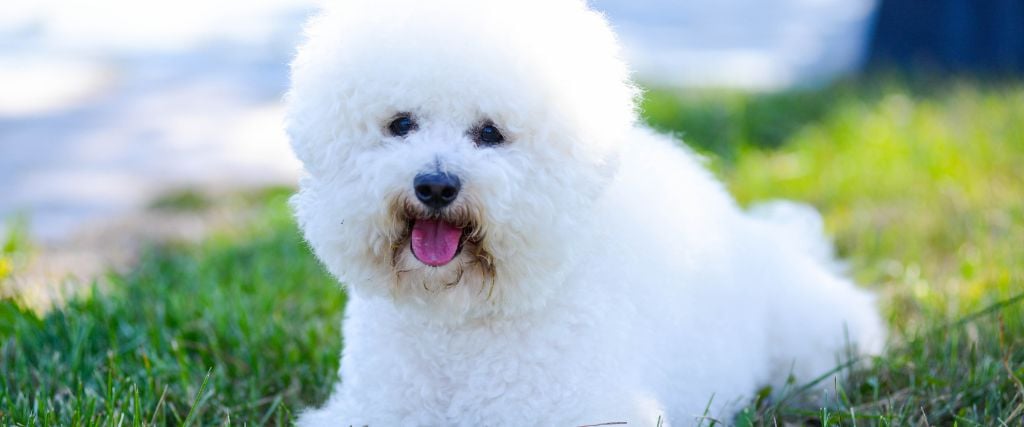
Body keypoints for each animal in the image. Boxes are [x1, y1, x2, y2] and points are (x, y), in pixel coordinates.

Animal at [284, 0, 884, 421]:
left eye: (490, 133)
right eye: (401, 124)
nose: (435, 185)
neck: (460, 323)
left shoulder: (583, 410)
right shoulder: (374, 407)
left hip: (811, 338)